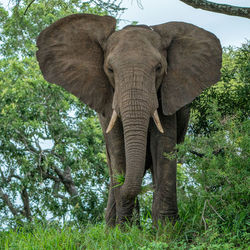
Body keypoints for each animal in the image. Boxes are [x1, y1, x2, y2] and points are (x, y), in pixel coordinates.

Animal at [36, 12, 222, 226]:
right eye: (110, 69)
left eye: (159, 68)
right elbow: (118, 149)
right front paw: (125, 229)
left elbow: (163, 147)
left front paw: (166, 229)